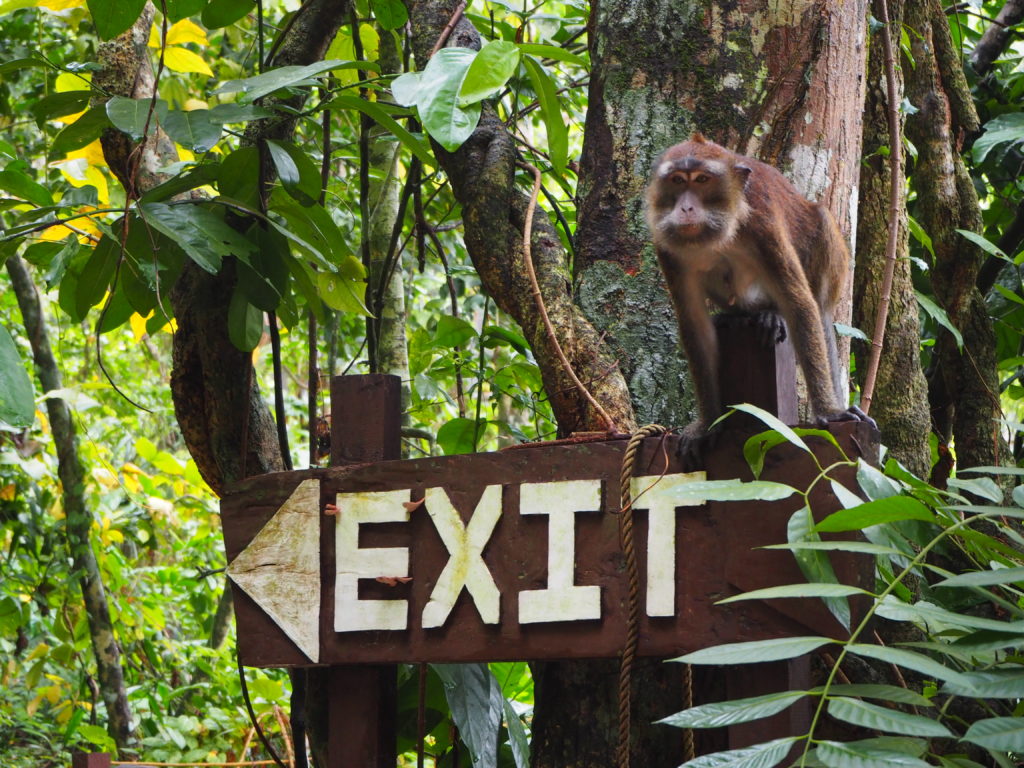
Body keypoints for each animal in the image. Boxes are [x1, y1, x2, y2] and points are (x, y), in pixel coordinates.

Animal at [643, 134, 868, 454]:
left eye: (702, 180)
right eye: (677, 180)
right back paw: (737, 316)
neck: (720, 229)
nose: (685, 209)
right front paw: (707, 422)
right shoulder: (666, 247)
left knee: (822, 226)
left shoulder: (764, 226)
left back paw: (771, 314)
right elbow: (695, 324)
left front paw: (829, 411)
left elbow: (798, 303)